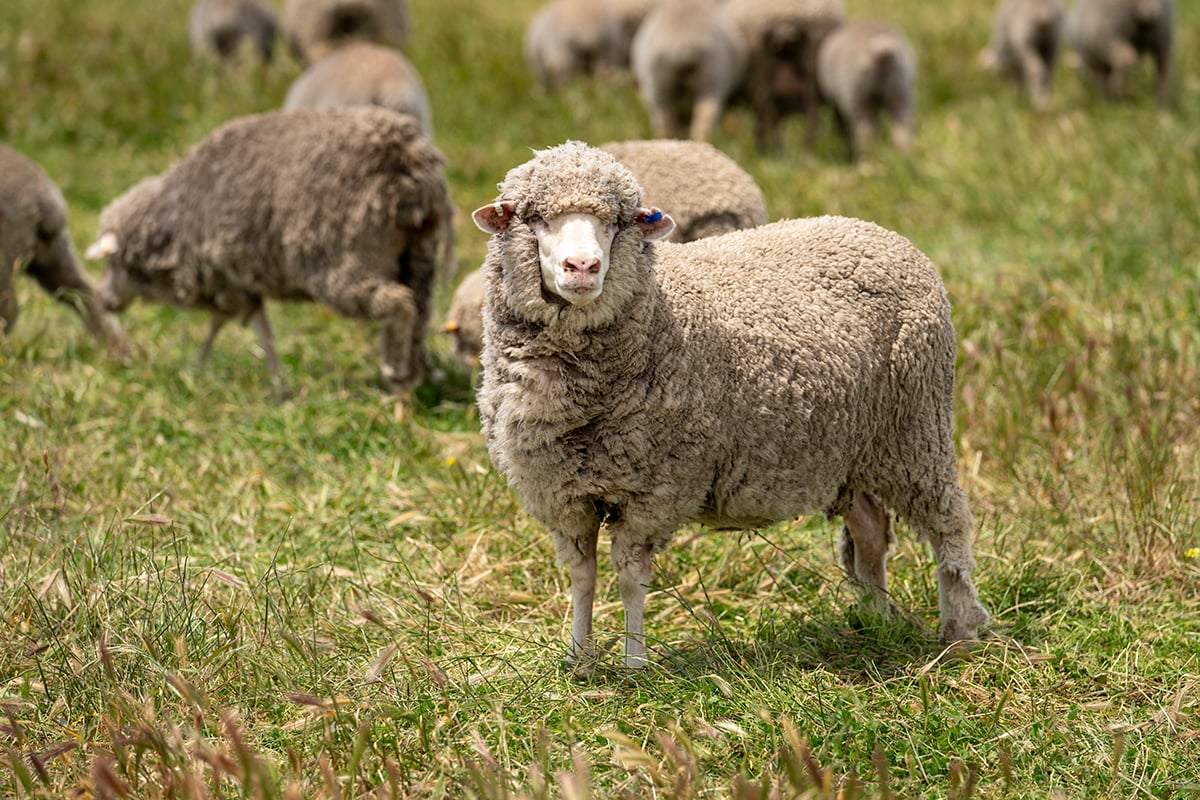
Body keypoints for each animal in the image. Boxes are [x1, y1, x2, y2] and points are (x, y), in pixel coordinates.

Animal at [0, 143, 123, 350]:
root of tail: (44, 199)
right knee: (84, 294)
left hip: (9, 252)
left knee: (10, 309)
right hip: (50, 252)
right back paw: (122, 352)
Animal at [86, 107, 453, 395]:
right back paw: (419, 374)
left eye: (110, 261)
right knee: (420, 313)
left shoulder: (226, 280)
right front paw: (272, 380)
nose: (103, 300)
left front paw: (200, 368)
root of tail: (407, 156)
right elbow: (255, 329)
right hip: (419, 254)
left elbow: (228, 324)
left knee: (399, 305)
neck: (174, 219)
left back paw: (396, 377)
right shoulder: (241, 284)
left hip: (347, 262)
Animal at [723, 0, 847, 151]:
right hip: (811, 70)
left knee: (770, 118)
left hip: (762, 75)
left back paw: (772, 151)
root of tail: (785, 21)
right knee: (811, 118)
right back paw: (806, 151)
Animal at [817, 20, 917, 162]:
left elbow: (844, 130)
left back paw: (867, 161)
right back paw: (903, 158)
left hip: (859, 98)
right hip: (900, 92)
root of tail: (882, 48)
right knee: (901, 131)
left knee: (865, 133)